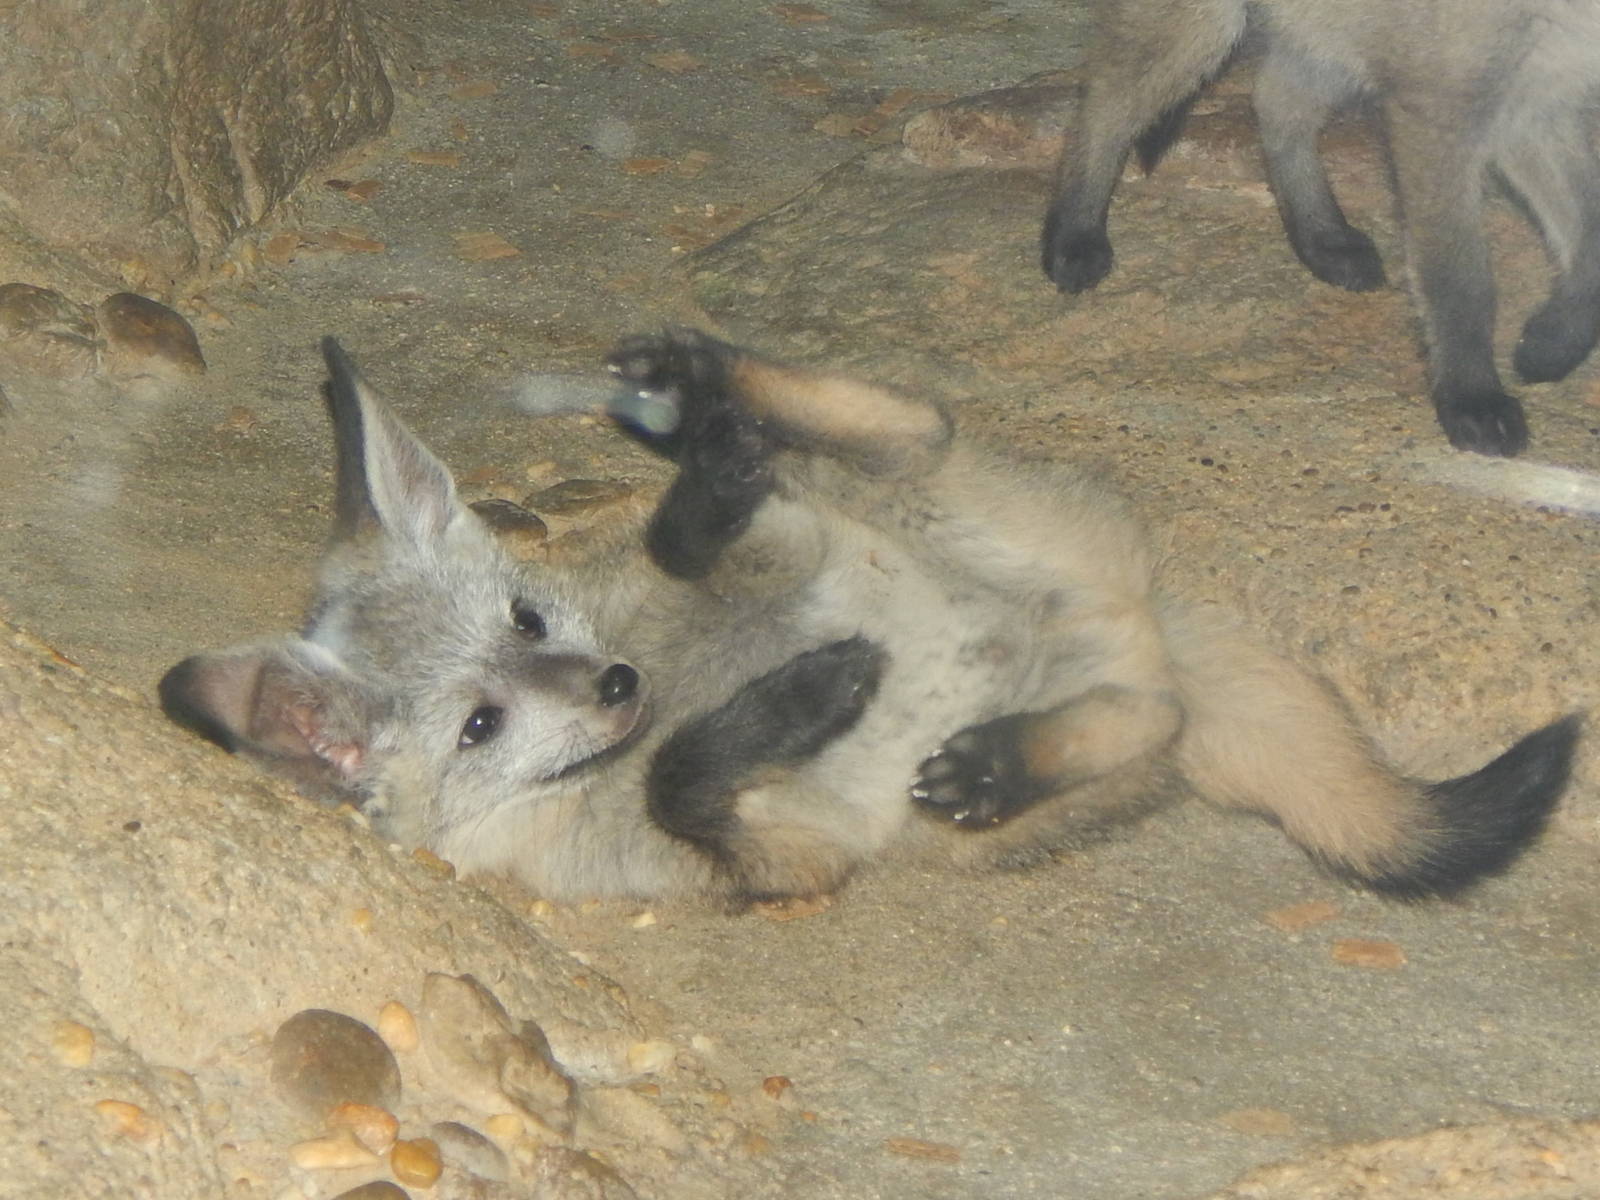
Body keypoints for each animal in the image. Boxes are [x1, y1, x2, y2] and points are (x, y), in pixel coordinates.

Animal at [159, 330, 1579, 905]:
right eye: (479, 728)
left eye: (525, 617)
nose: (616, 688)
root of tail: (1129, 609)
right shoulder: (777, 860)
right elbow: (685, 775)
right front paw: (797, 702)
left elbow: (682, 733)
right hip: (1014, 701)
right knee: (1154, 715)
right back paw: (1006, 755)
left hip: (863, 507)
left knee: (891, 432)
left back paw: (706, 395)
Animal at [1040, 0, 1600, 458]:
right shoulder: (1442, 111)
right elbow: (1460, 281)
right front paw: (1472, 398)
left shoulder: (1535, 99)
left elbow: (1588, 244)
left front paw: (1549, 346)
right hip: (1205, 27)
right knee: (1106, 100)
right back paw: (1074, 236)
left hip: (1330, 36)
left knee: (1274, 99)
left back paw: (1322, 239)